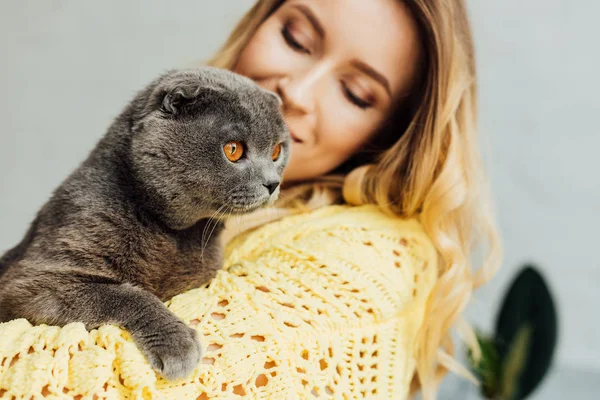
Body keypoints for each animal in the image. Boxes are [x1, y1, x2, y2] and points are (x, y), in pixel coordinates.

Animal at [0, 68, 290, 382]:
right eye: (233, 149)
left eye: (277, 151)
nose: (273, 183)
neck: (171, 232)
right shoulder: (33, 279)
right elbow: (124, 294)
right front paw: (177, 344)